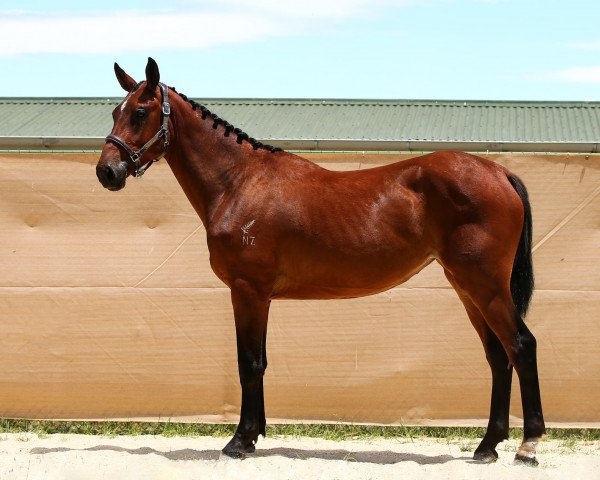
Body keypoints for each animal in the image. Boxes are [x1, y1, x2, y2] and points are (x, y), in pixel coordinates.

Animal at [97, 57, 544, 464]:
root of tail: (499, 172)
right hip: (467, 287)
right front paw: (255, 435)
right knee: (498, 356)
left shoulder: (247, 290)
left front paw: (239, 441)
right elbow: (260, 362)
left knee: (521, 346)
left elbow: (248, 363)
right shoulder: (261, 296)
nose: (107, 172)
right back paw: (487, 446)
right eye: (116, 112)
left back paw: (528, 445)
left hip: (484, 286)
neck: (239, 183)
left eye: (140, 112)